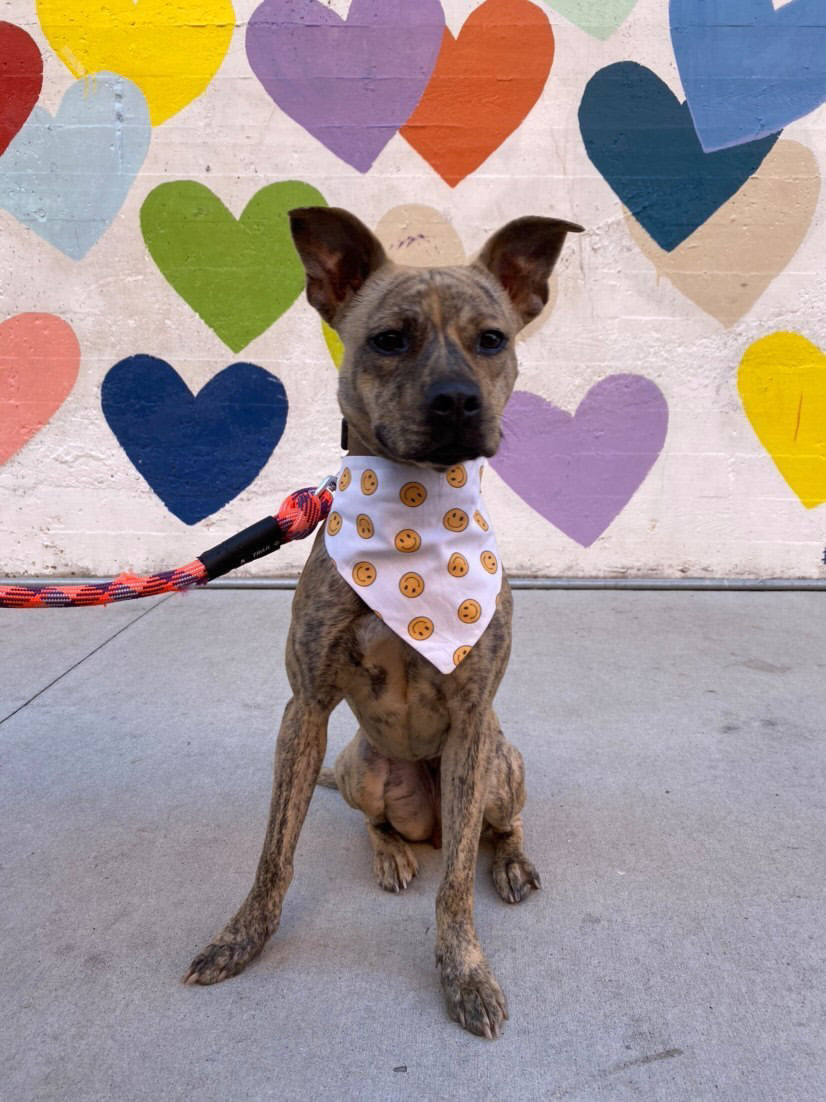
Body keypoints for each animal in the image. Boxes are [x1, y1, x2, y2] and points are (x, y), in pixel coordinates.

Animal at [182, 207, 581, 1040]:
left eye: (491, 339)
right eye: (388, 339)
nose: (458, 401)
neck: (413, 523)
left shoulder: (473, 721)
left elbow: (455, 884)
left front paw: (464, 972)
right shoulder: (304, 710)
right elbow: (275, 852)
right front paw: (241, 938)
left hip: (501, 763)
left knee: (489, 829)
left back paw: (509, 861)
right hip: (361, 766)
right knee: (381, 822)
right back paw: (393, 852)